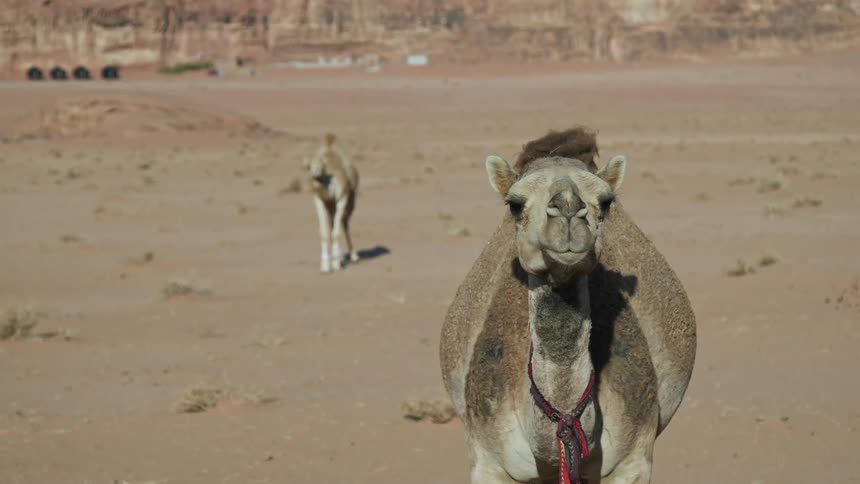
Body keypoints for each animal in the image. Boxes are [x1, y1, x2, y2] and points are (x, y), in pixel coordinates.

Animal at [304, 133, 360, 273]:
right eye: (309, 167)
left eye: (321, 167)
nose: (315, 174)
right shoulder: (319, 200)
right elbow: (324, 233)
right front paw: (325, 266)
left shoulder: (342, 198)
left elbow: (336, 232)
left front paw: (335, 264)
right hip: (330, 205)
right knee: (333, 224)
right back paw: (340, 257)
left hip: (350, 200)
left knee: (344, 223)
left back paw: (353, 256)